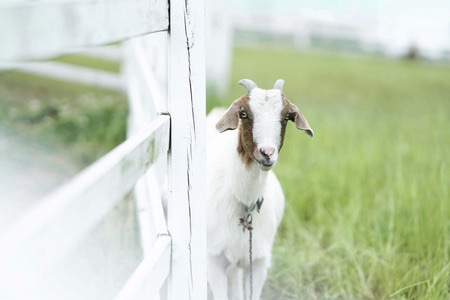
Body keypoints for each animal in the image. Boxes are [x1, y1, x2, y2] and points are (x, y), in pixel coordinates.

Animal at [207, 78, 312, 298]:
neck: (244, 201)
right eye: (244, 114)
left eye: (287, 117)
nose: (267, 153)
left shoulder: (258, 262)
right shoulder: (214, 259)